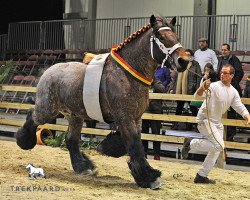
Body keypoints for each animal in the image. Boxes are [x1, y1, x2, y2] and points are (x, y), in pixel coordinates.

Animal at [15, 15, 190, 189]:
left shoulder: (135, 117)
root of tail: (48, 71)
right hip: (48, 109)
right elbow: (135, 144)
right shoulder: (125, 117)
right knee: (32, 116)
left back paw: (83, 167)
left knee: (70, 139)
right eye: (161, 37)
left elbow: (130, 141)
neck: (127, 74)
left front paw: (107, 147)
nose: (183, 61)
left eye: (177, 36)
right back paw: (24, 141)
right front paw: (150, 177)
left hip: (74, 115)